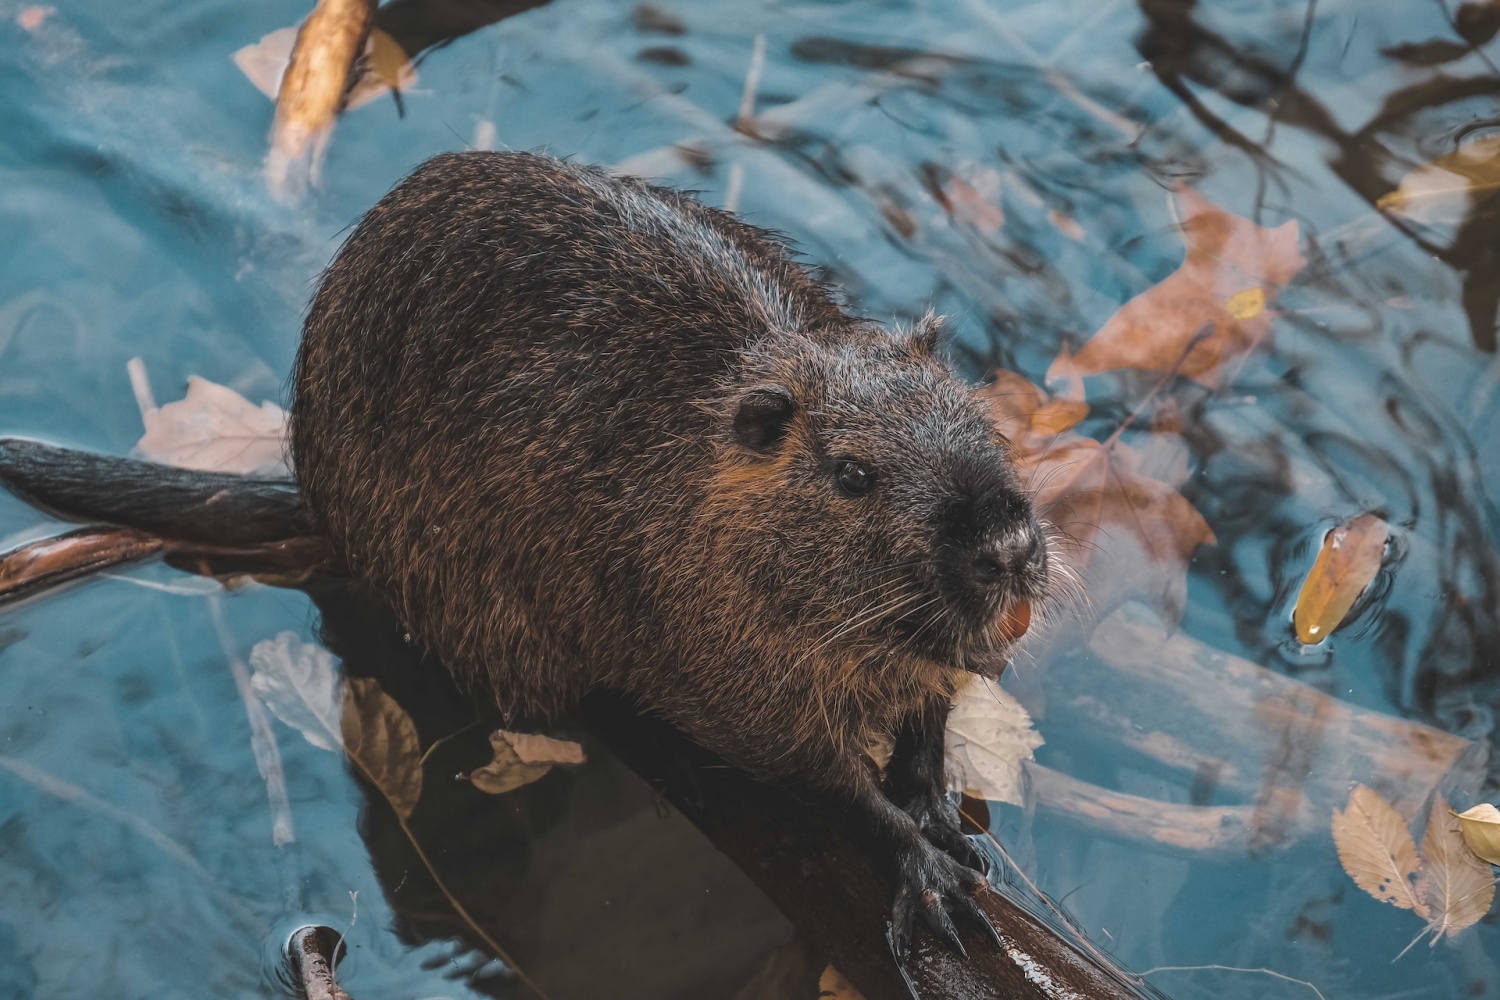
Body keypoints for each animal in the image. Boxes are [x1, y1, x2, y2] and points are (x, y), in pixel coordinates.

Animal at [0, 154, 1056, 959]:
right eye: (852, 474)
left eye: (974, 410)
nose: (1007, 547)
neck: (693, 475)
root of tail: (309, 497)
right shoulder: (717, 655)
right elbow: (815, 772)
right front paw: (923, 860)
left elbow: (932, 710)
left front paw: (936, 802)